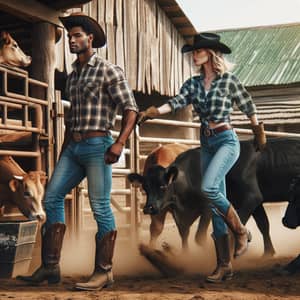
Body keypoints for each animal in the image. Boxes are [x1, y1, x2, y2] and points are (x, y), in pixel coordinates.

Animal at [130, 137, 300, 256]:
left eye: (163, 186)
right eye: (145, 188)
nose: (148, 208)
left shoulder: (249, 198)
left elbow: (206, 235)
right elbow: (263, 224)